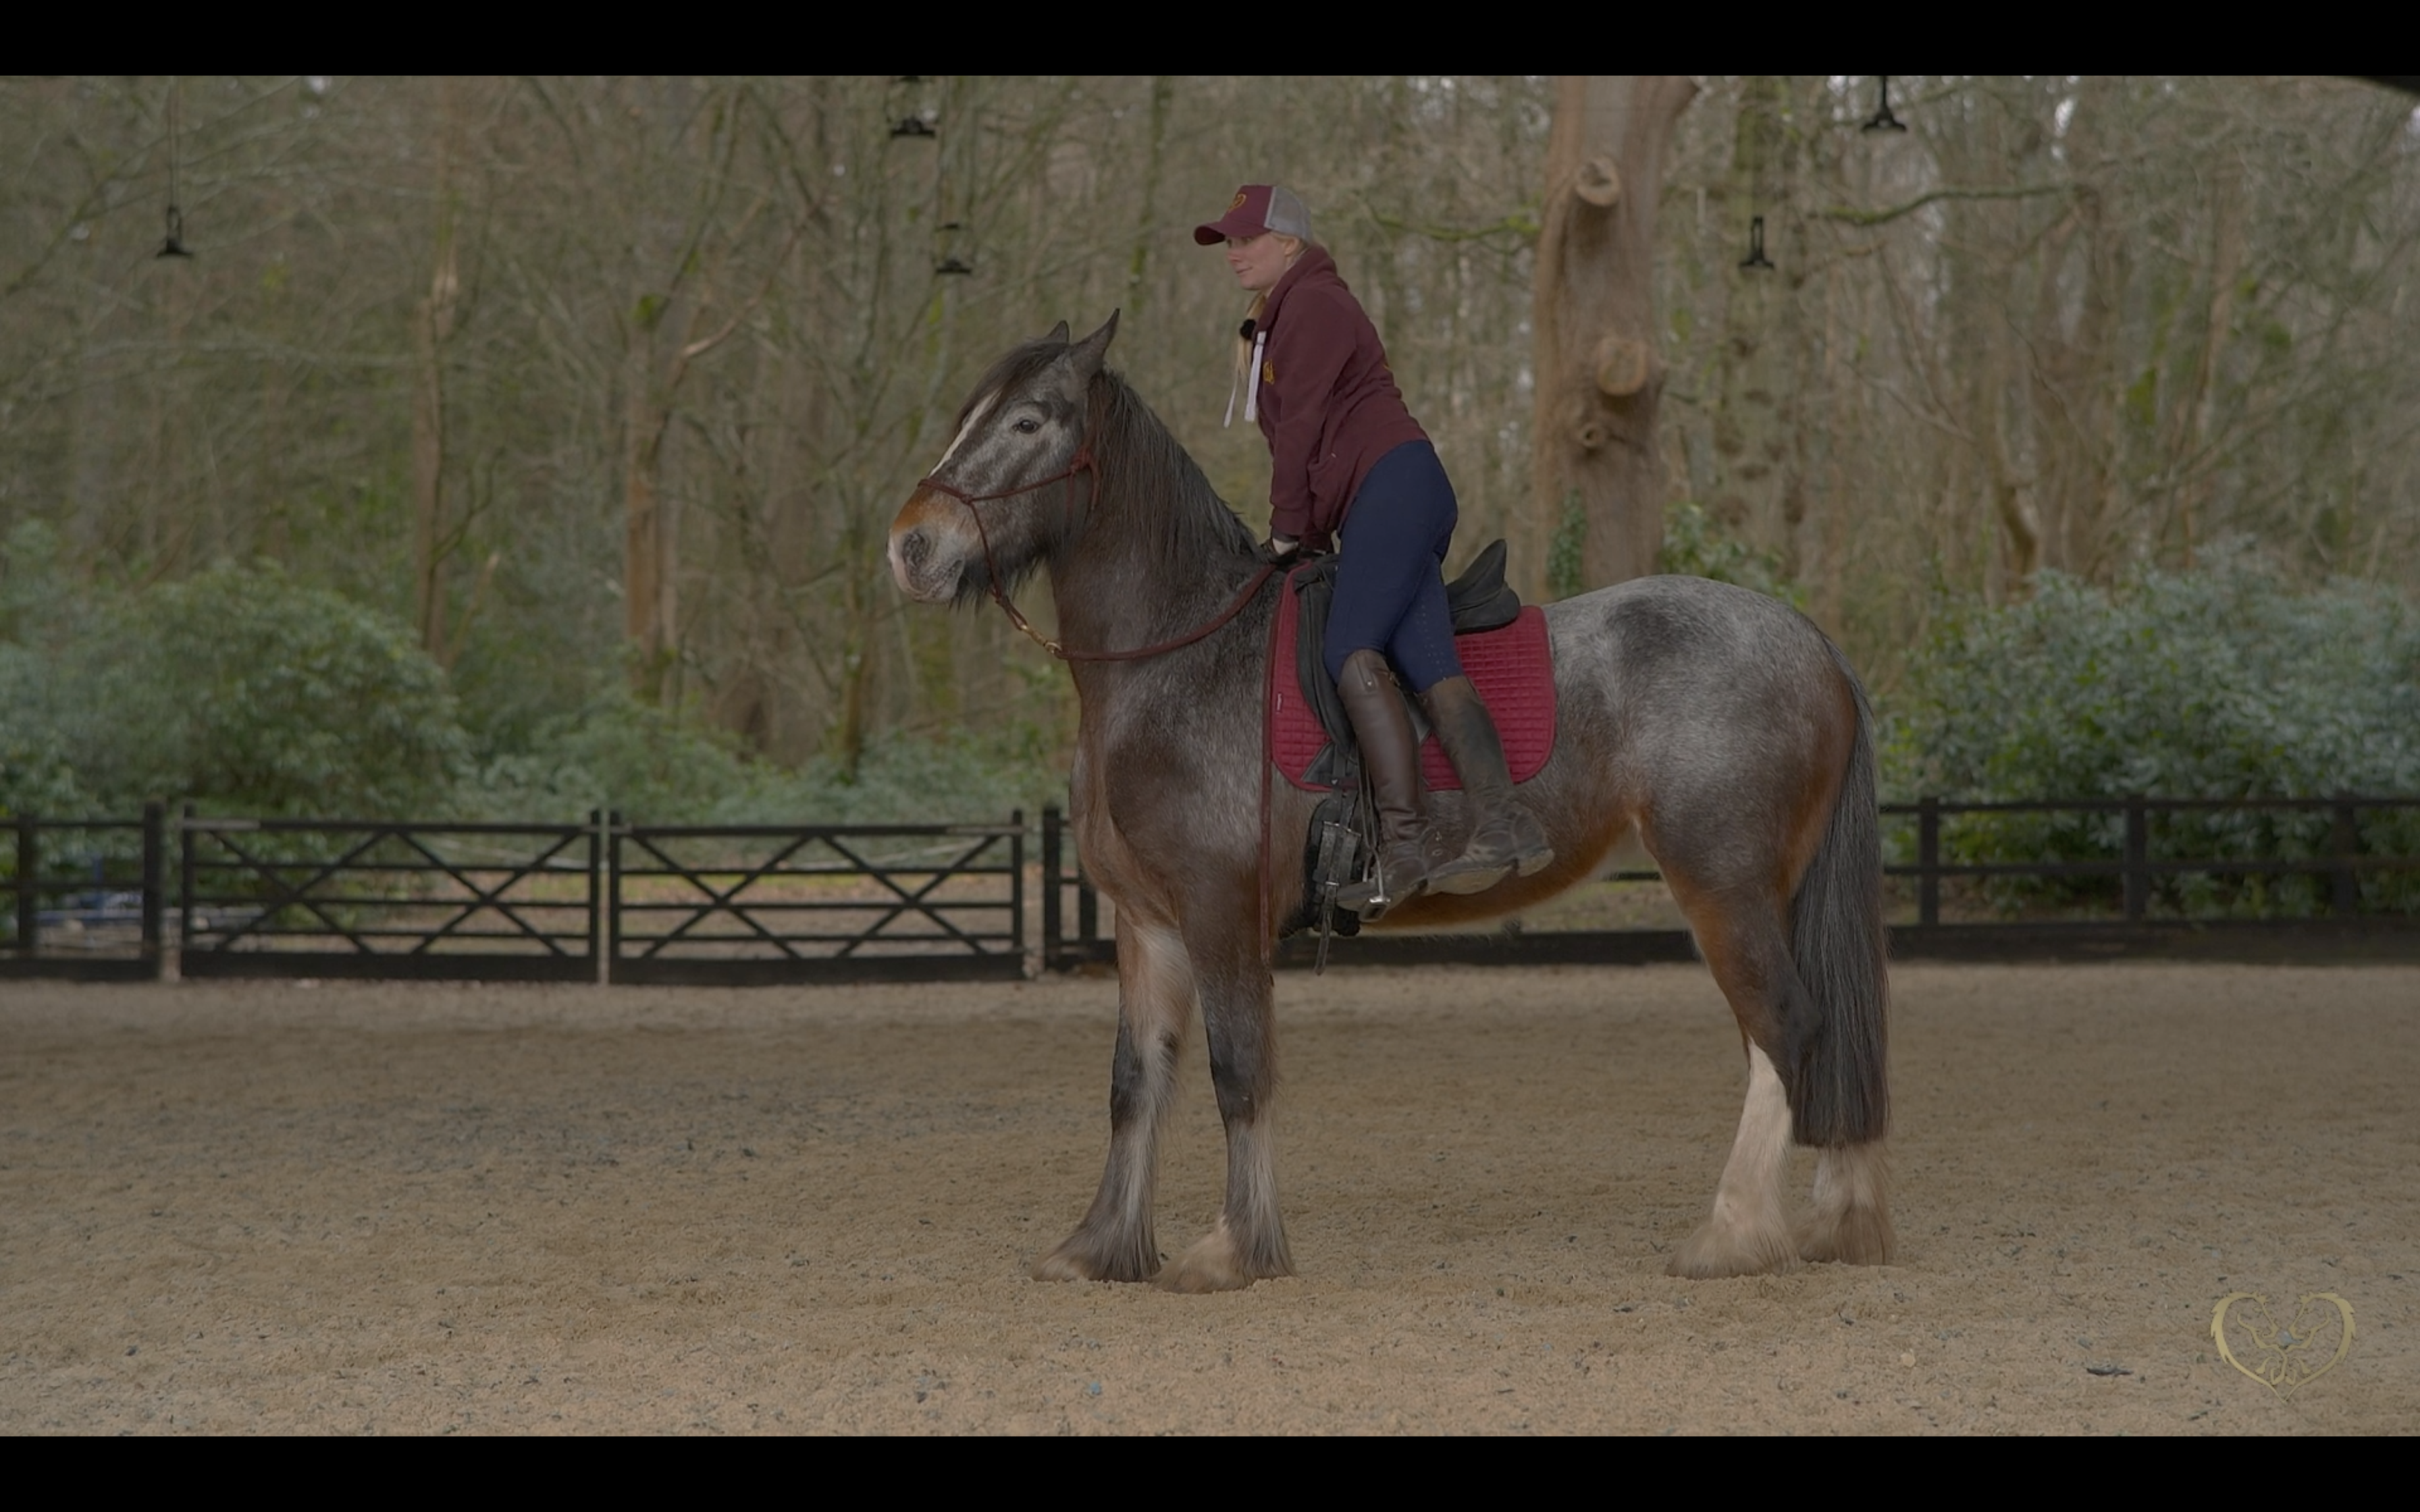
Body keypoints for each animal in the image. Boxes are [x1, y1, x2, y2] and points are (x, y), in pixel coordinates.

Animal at [888, 313, 1892, 1292]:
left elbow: (1237, 1070)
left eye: (1029, 420)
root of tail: (1809, 639)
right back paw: (1840, 1219)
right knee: (1819, 1034)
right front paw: (1101, 1246)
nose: (911, 546)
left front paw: (1233, 1248)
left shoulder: (1220, 914)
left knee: (1783, 1026)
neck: (1177, 658)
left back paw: (1734, 1231)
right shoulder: (1148, 924)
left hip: (1721, 885)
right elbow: (1135, 1083)